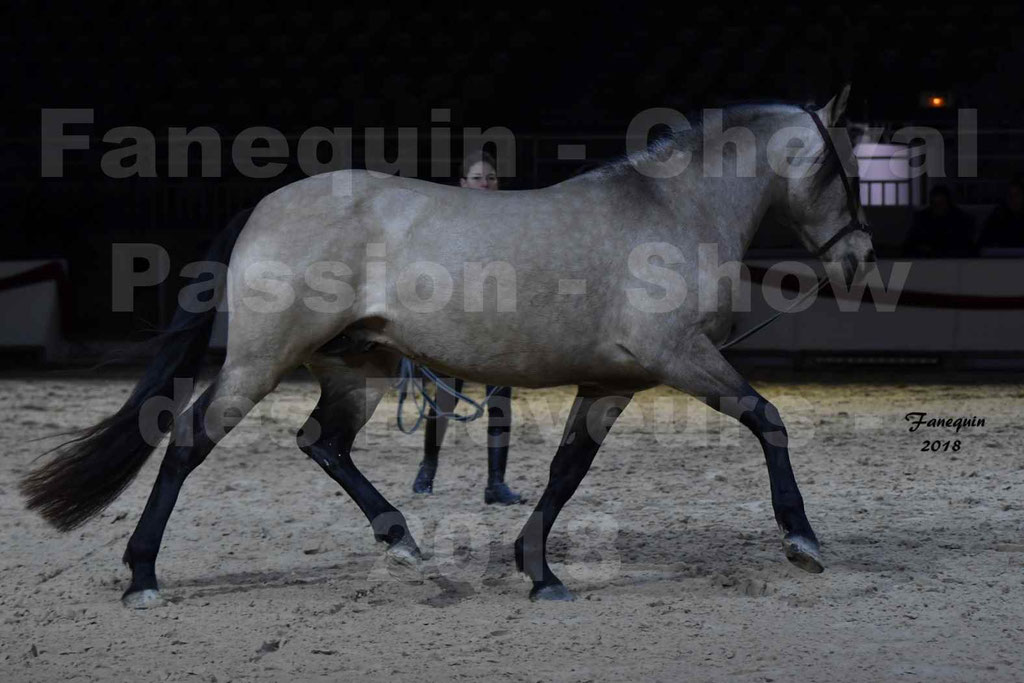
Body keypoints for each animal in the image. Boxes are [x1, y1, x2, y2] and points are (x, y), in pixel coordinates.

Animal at [21, 86, 874, 605]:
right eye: (847, 169)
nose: (861, 260)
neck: (669, 210)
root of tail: (265, 207)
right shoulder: (679, 359)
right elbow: (767, 418)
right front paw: (801, 538)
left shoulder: (612, 383)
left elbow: (566, 472)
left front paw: (539, 572)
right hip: (260, 363)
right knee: (189, 439)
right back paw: (141, 574)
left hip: (358, 368)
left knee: (321, 441)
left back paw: (402, 539)